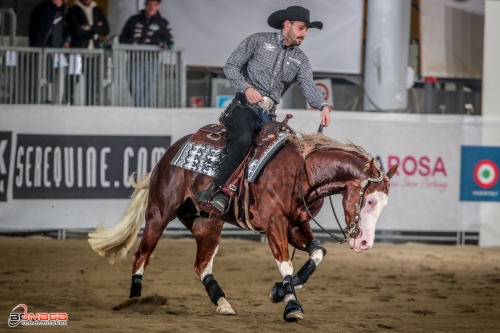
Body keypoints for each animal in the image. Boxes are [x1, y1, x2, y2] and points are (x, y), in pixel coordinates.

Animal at [88, 130, 396, 322]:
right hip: (159, 212)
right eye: (369, 200)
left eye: (384, 205)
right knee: (141, 255)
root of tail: (170, 154)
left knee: (202, 265)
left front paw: (280, 291)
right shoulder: (273, 224)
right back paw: (135, 302)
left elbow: (318, 252)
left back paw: (222, 302)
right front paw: (292, 305)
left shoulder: (296, 226)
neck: (301, 174)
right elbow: (285, 264)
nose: (365, 242)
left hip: (207, 224)